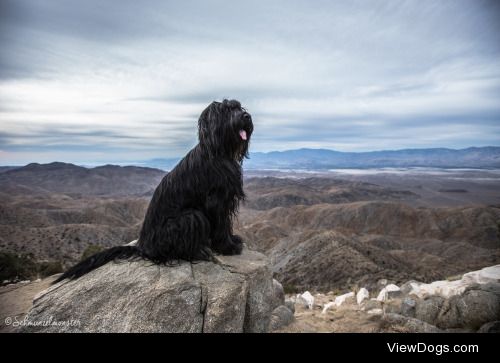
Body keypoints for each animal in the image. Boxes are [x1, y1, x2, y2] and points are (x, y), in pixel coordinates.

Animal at [53, 99, 254, 284]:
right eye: (227, 110)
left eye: (239, 107)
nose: (246, 116)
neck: (219, 150)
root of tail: (144, 247)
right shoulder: (217, 200)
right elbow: (221, 225)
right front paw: (228, 247)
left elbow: (225, 225)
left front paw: (232, 241)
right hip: (189, 217)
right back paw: (200, 252)